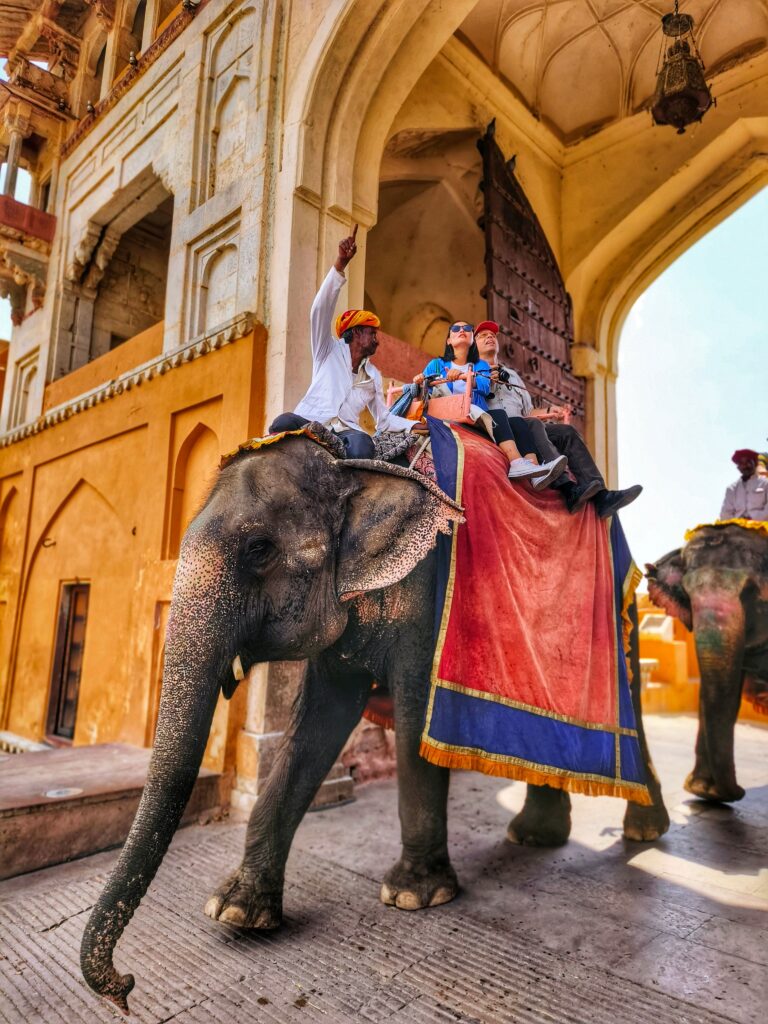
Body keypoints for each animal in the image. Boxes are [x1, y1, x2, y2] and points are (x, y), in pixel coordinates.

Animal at [80, 430, 670, 1012]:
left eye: (259, 550)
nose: (125, 989)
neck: (354, 467)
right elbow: (317, 725)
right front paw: (236, 913)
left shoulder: (425, 592)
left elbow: (413, 717)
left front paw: (415, 896)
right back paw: (534, 838)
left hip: (620, 607)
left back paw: (639, 831)